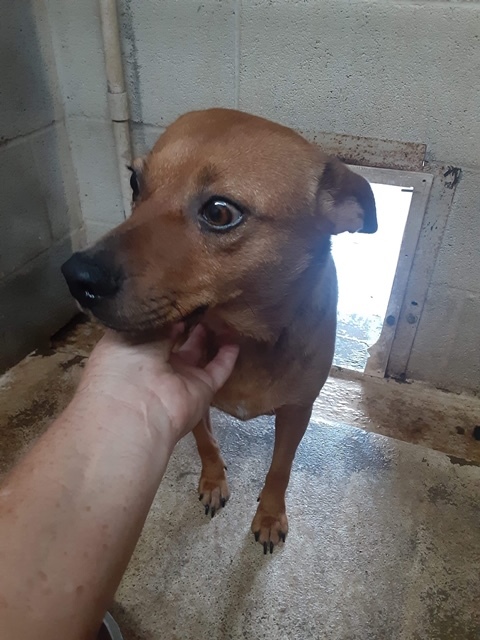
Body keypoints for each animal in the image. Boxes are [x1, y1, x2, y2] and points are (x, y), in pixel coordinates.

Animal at [62, 107, 376, 552]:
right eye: (134, 181)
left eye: (220, 213)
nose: (76, 277)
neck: (245, 337)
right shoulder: (195, 398)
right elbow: (205, 442)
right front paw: (213, 481)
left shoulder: (297, 412)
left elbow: (280, 468)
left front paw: (269, 514)